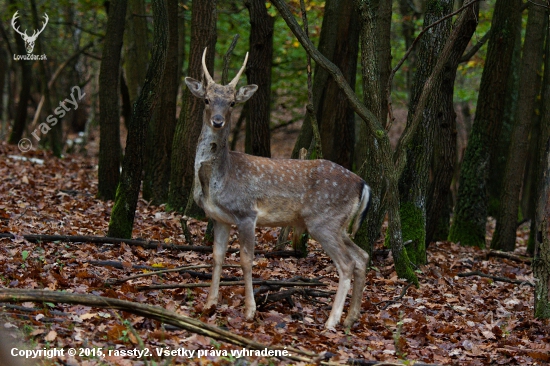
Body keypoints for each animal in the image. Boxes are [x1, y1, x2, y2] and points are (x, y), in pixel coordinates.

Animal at [188, 48, 374, 328]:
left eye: (232, 103)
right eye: (207, 100)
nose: (218, 121)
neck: (218, 180)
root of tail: (362, 184)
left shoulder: (246, 213)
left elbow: (246, 260)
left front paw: (250, 310)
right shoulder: (219, 218)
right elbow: (217, 256)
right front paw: (209, 305)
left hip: (324, 220)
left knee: (347, 264)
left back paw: (331, 322)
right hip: (339, 224)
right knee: (362, 256)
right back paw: (350, 319)